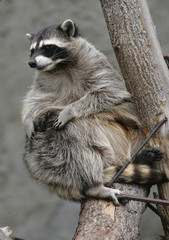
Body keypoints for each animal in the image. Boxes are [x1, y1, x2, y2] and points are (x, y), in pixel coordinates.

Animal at [22, 19, 168, 205]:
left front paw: (70, 110)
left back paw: (94, 184)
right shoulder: (44, 80)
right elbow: (35, 99)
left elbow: (110, 92)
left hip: (123, 137)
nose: (32, 63)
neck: (61, 66)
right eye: (32, 50)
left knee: (70, 133)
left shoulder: (95, 63)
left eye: (48, 47)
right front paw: (28, 118)